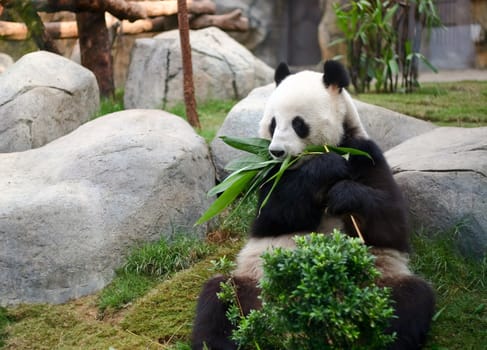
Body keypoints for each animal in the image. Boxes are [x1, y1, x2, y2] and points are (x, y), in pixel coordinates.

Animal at [193, 60, 436, 350]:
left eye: (298, 123)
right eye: (273, 123)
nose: (276, 152)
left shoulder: (365, 152)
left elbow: (392, 226)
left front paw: (344, 194)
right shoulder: (268, 173)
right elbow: (271, 216)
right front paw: (327, 166)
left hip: (379, 282)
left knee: (409, 301)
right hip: (254, 283)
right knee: (220, 298)